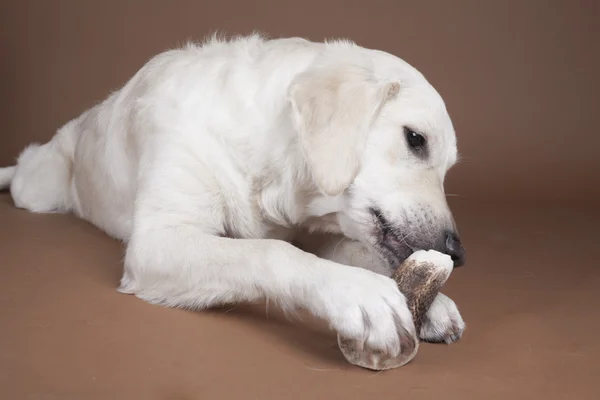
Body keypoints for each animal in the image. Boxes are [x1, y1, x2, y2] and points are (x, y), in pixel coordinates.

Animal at [0, 35, 466, 360]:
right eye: (415, 139)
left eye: (448, 166)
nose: (457, 253)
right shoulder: (156, 242)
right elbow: (272, 252)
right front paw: (359, 293)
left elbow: (362, 252)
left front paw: (434, 303)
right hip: (39, 186)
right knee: (24, 169)